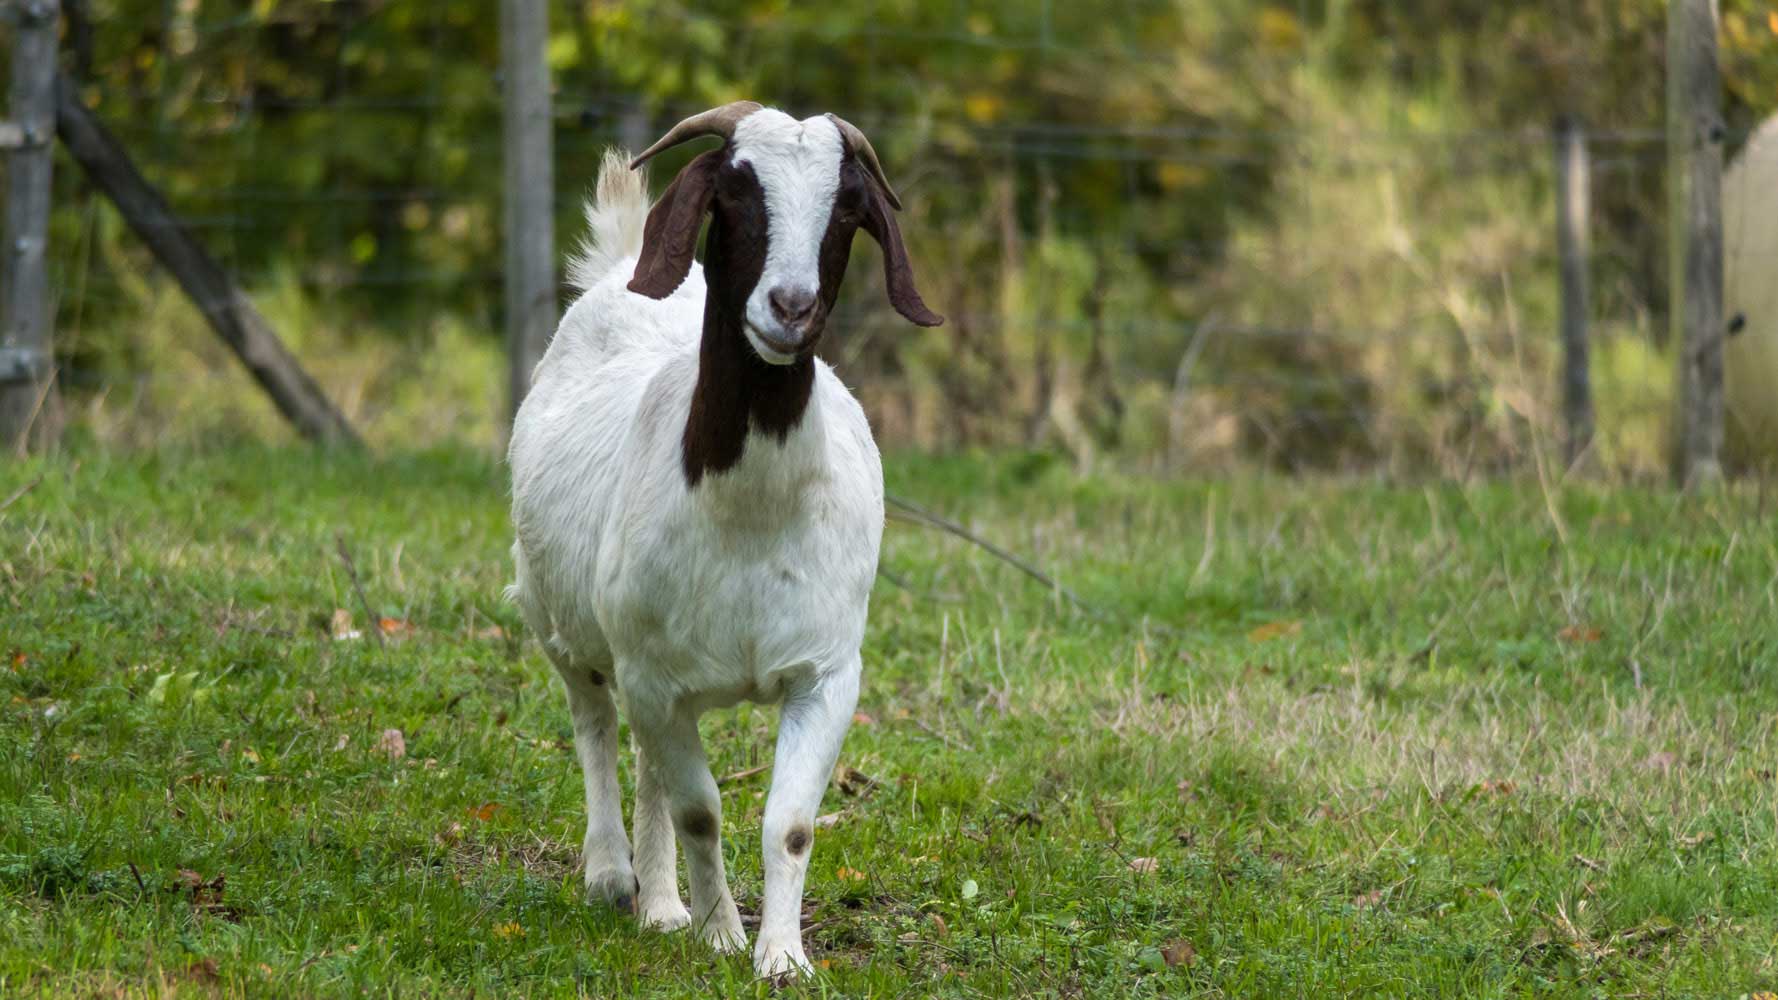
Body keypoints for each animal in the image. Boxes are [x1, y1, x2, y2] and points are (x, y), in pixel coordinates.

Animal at [504, 103, 938, 975]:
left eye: (848, 205)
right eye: (734, 191)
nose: (792, 307)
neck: (751, 513)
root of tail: (617, 266)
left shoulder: (826, 672)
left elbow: (791, 823)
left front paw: (780, 956)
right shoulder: (653, 675)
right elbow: (700, 811)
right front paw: (719, 934)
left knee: (645, 762)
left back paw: (660, 904)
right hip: (557, 620)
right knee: (595, 724)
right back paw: (614, 875)